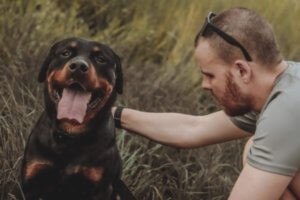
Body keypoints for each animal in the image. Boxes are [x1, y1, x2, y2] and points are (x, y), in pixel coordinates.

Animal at [22, 38, 136, 200]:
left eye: (101, 59)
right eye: (66, 53)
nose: (78, 66)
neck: (72, 133)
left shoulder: (100, 188)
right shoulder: (32, 180)